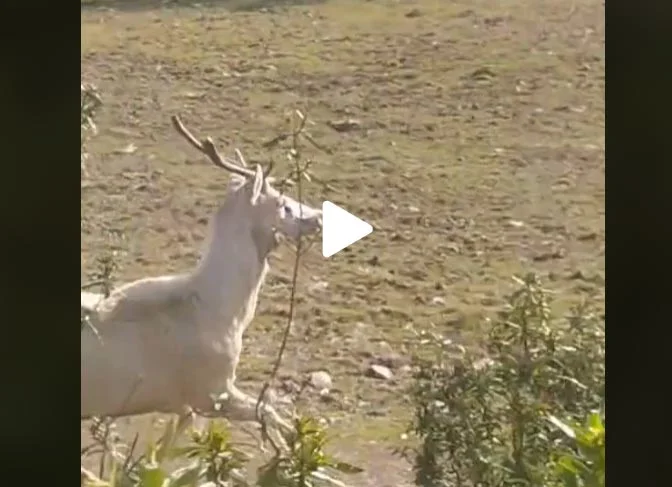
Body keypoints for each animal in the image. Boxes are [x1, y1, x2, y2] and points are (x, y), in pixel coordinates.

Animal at [81, 114, 323, 446]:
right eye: (282, 203)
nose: (318, 217)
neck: (220, 312)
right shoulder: (210, 391)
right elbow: (269, 413)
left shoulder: (183, 405)